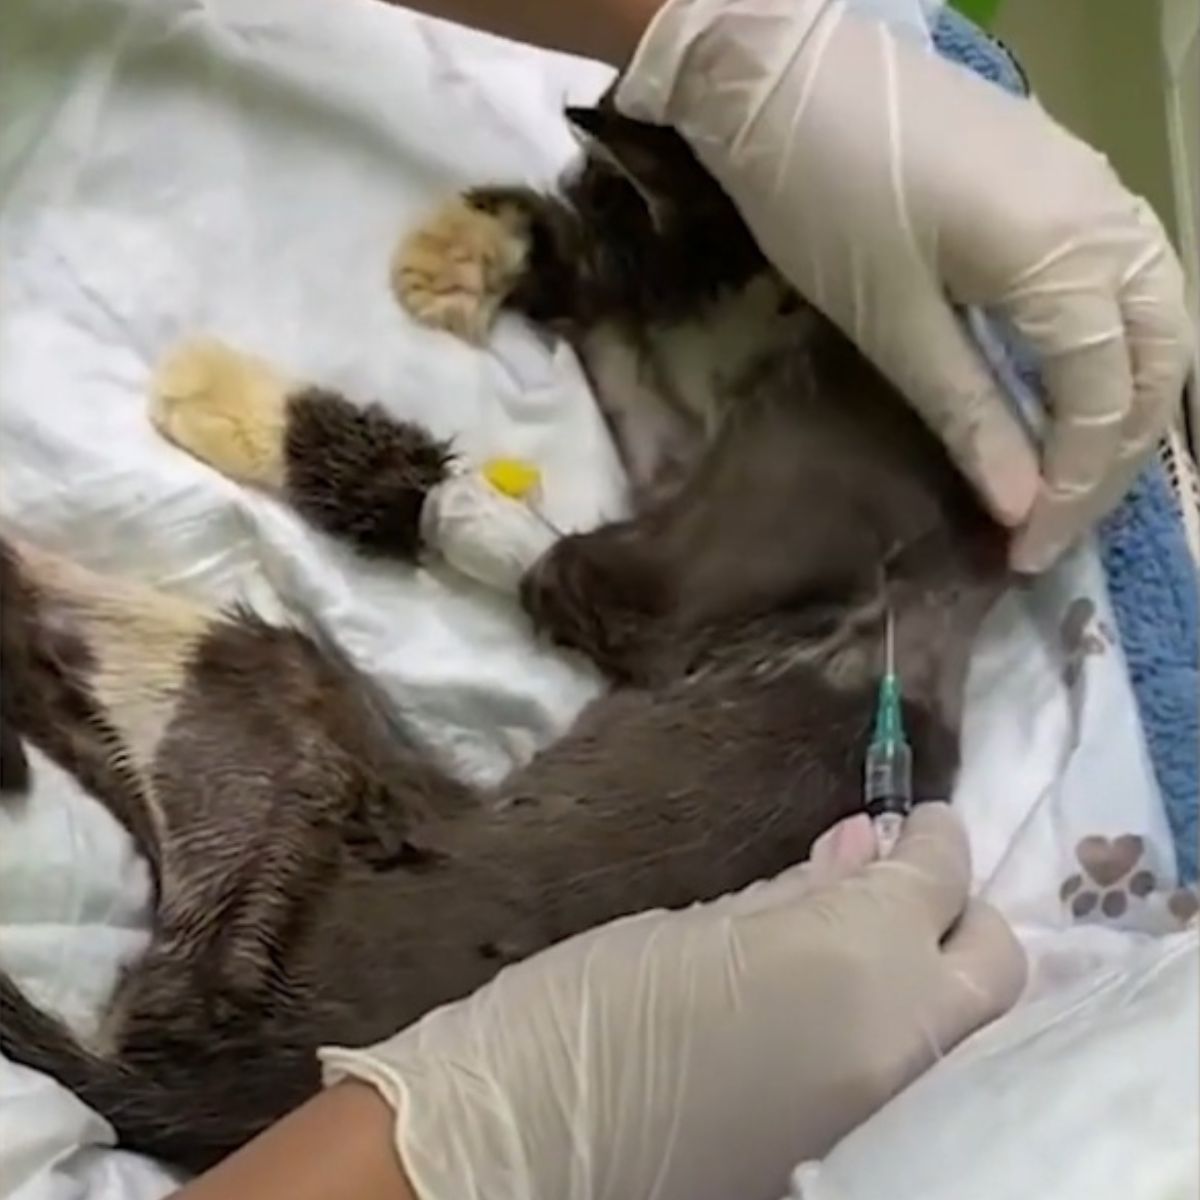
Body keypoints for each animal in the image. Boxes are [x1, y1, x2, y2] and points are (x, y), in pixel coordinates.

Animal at [0, 100, 1008, 1171]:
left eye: (608, 193)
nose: (569, 189)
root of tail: (204, 1101)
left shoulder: (653, 579)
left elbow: (459, 503)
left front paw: (229, 398)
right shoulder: (671, 452)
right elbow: (609, 360)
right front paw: (482, 247)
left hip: (266, 712)